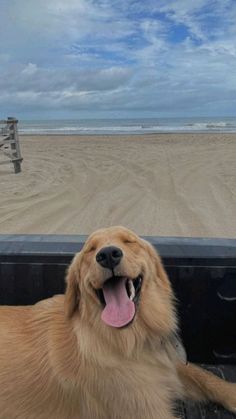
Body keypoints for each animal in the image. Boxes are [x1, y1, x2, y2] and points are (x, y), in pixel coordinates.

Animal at [0, 226, 236, 419]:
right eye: (91, 249)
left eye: (129, 241)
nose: (107, 255)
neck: (127, 338)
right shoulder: (147, 410)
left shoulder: (164, 363)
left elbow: (201, 374)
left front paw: (232, 392)